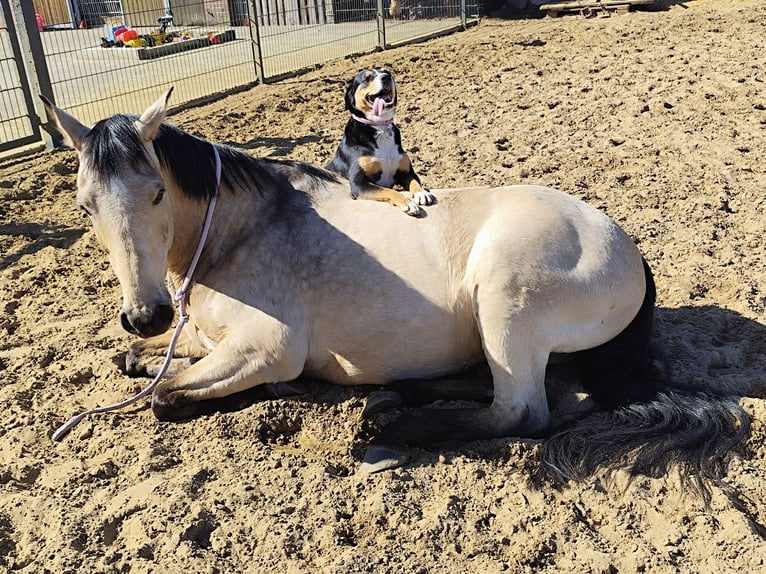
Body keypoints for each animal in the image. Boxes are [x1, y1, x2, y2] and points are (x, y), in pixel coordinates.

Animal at [42, 90, 749, 492]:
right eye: (83, 206)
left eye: (157, 193)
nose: (145, 315)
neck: (242, 230)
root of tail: (630, 252)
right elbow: (137, 365)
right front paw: (141, 353)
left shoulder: (265, 349)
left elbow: (165, 398)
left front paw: (271, 392)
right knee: (512, 388)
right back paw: (392, 400)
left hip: (504, 301)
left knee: (522, 412)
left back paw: (384, 435)